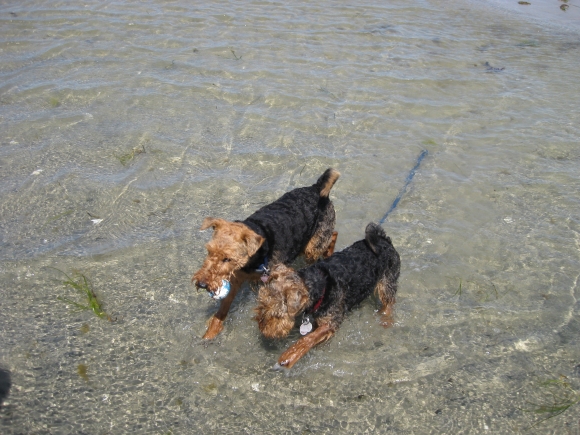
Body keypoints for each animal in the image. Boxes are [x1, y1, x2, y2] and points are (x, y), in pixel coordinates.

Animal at [193, 169, 342, 338]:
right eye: (209, 251)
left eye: (227, 258)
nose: (202, 284)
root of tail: (316, 188)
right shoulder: (237, 278)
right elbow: (222, 309)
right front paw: (209, 335)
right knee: (333, 234)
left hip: (313, 245)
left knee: (329, 238)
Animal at [254, 223, 398, 370]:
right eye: (261, 305)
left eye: (276, 314)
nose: (263, 330)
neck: (320, 284)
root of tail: (383, 239)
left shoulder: (331, 321)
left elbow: (307, 339)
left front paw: (288, 357)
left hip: (388, 282)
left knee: (389, 303)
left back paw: (385, 320)